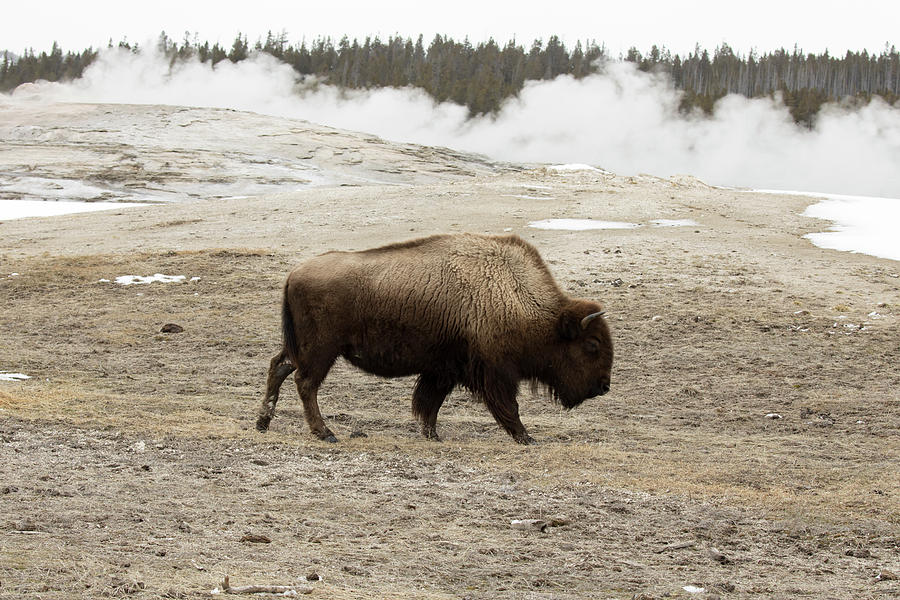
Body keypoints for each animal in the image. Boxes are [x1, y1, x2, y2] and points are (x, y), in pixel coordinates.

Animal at [256, 232, 616, 442]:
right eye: (592, 345)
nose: (603, 386)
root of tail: (293, 274)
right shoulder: (494, 373)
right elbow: (507, 407)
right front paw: (525, 437)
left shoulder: (444, 369)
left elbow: (430, 403)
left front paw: (431, 435)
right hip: (321, 349)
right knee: (306, 383)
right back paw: (325, 433)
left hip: (301, 347)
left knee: (279, 367)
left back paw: (263, 423)